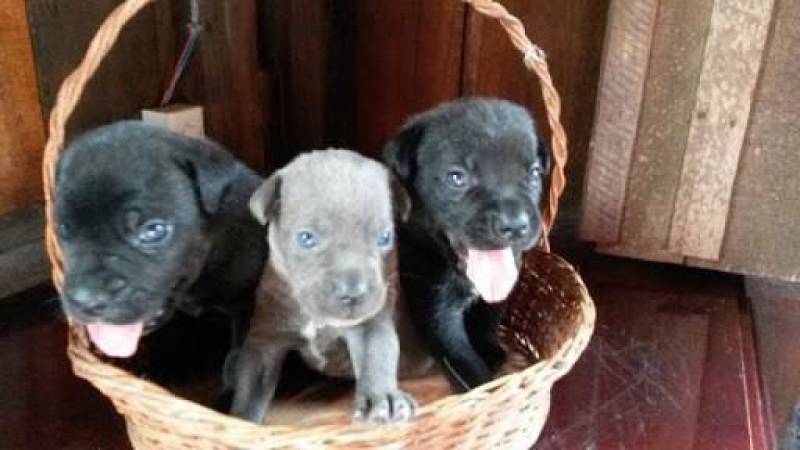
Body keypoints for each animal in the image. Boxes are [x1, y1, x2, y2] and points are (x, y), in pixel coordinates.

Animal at [228, 149, 422, 424]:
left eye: (385, 238)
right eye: (306, 238)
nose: (353, 294)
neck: (316, 318)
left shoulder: (370, 324)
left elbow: (377, 354)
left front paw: (382, 399)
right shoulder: (264, 341)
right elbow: (248, 388)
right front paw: (241, 419)